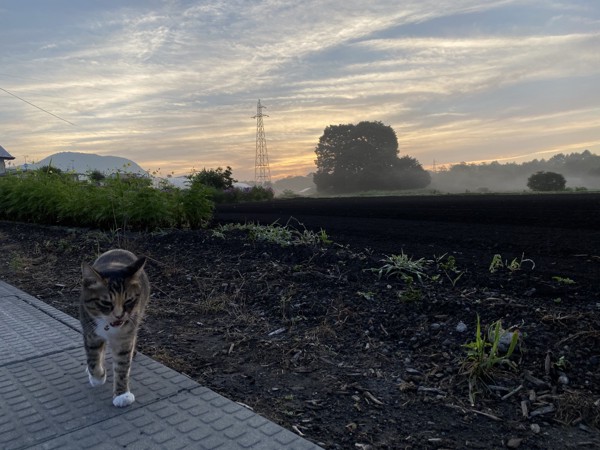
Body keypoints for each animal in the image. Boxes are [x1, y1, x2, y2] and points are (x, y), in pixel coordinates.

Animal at [79, 250, 149, 408]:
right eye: (106, 303)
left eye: (128, 301)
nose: (119, 316)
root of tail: (119, 250)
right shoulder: (90, 331)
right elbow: (93, 355)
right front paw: (97, 377)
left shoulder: (125, 336)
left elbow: (122, 364)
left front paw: (122, 395)